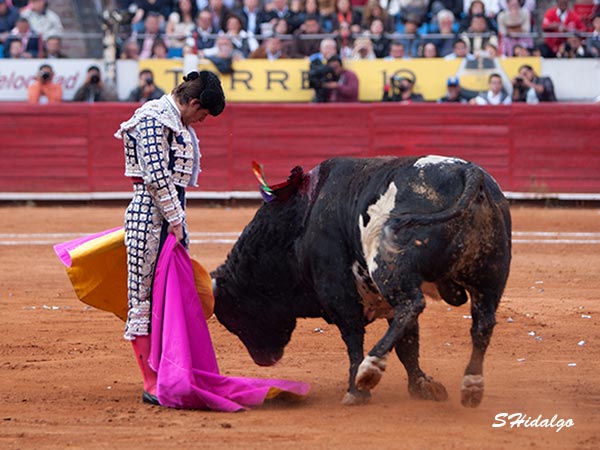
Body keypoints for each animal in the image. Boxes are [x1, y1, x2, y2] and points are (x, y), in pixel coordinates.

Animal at [212, 156, 511, 407]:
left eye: (234, 316)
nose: (263, 360)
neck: (300, 223)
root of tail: (468, 172)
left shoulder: (337, 292)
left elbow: (354, 337)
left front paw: (356, 388)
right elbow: (407, 344)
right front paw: (422, 386)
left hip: (389, 269)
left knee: (412, 305)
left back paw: (371, 370)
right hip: (490, 277)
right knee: (482, 324)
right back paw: (472, 386)